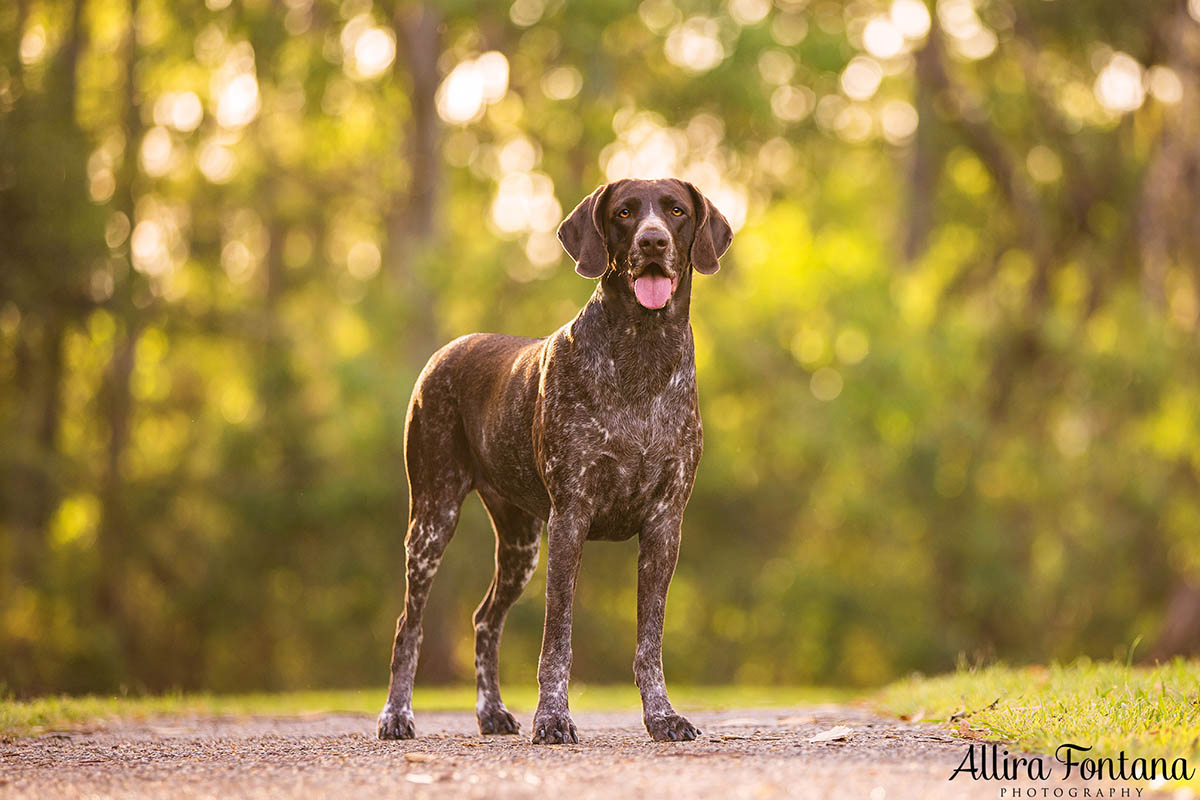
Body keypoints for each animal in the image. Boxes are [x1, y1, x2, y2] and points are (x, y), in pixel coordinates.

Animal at [376, 179, 729, 743]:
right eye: (625, 212)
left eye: (676, 211)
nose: (652, 241)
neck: (644, 351)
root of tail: (444, 353)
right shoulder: (570, 518)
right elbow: (557, 641)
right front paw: (553, 718)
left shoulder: (664, 525)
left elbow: (649, 643)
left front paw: (662, 716)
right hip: (432, 521)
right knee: (407, 627)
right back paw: (396, 714)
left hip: (520, 546)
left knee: (484, 620)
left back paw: (491, 712)